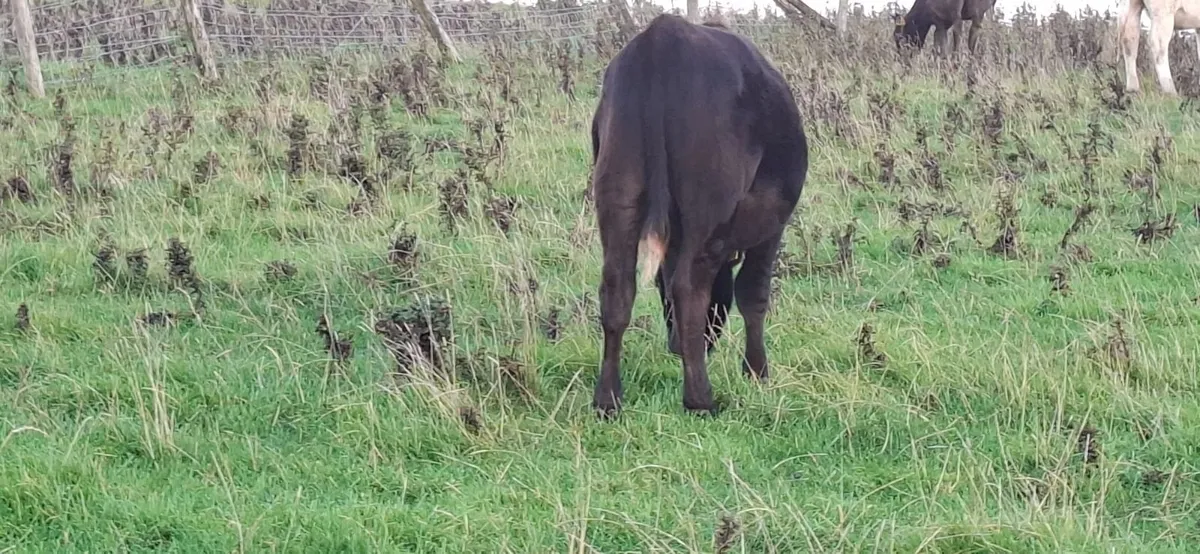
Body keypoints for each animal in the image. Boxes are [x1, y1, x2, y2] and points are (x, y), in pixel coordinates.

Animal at [588, 14, 809, 416]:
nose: (675, 345)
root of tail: (664, 35)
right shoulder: (772, 227)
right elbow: (753, 294)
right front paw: (757, 371)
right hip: (709, 207)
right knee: (690, 288)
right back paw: (700, 399)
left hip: (618, 191)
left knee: (617, 288)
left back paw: (608, 399)